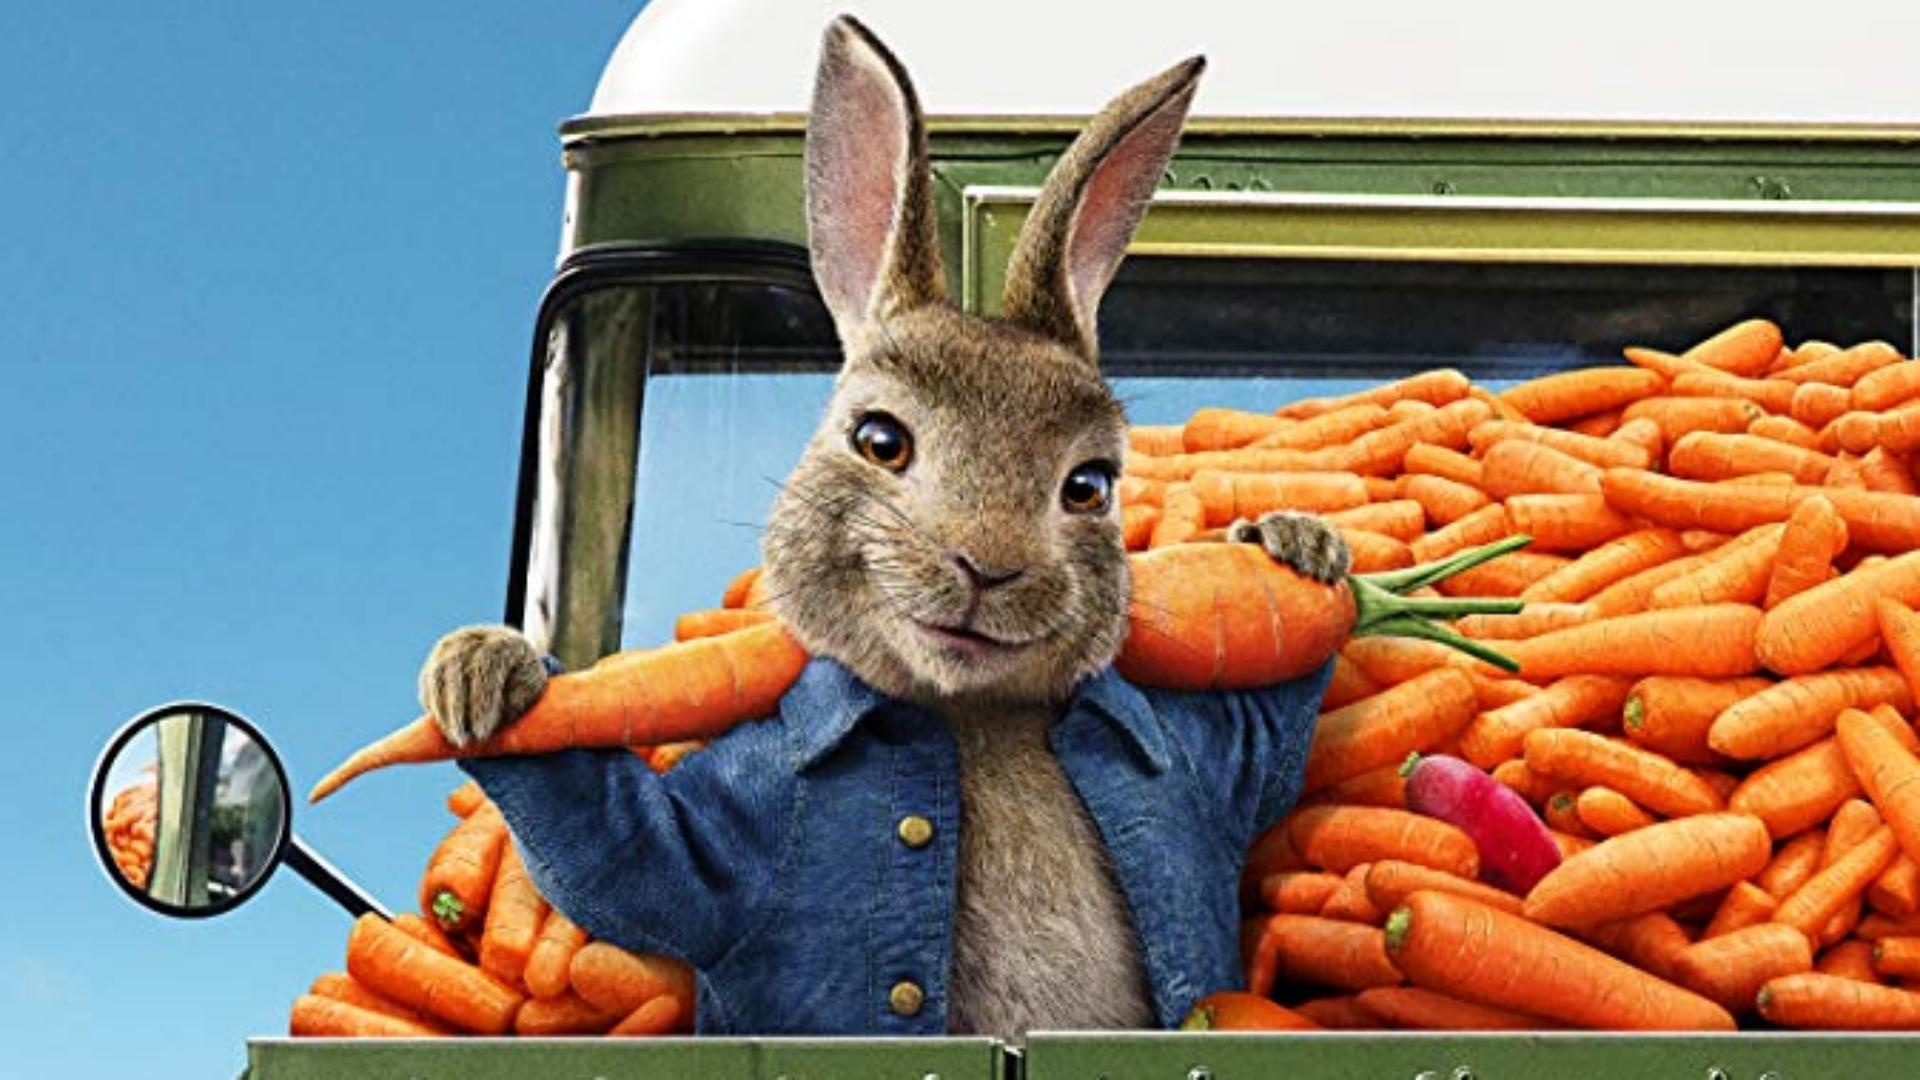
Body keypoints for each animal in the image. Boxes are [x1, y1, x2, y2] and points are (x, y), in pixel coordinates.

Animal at [423, 14, 1349, 1041]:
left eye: (1090, 485)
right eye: (879, 439)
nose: (989, 567)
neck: (973, 717)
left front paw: (1295, 543)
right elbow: (634, 860)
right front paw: (482, 672)